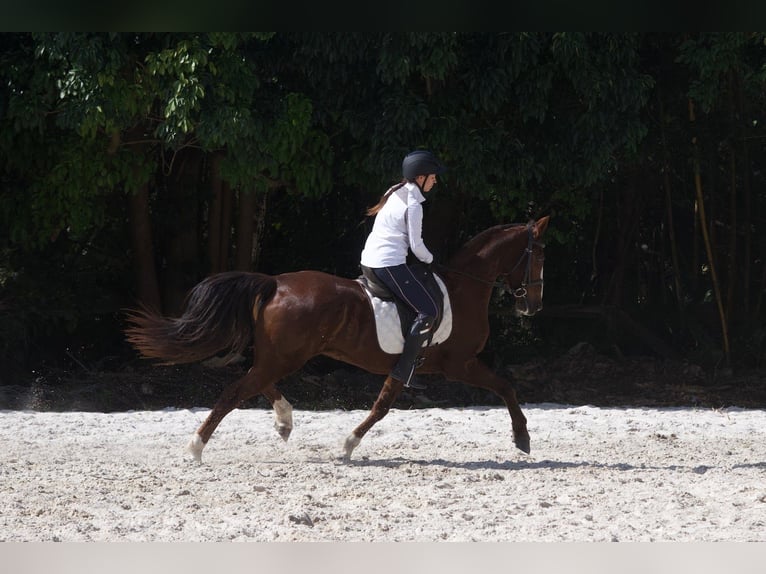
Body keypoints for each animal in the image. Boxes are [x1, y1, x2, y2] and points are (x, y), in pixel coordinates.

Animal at [125, 216, 549, 463]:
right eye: (541, 256)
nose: (533, 306)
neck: (462, 290)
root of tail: (275, 282)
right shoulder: (459, 364)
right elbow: (506, 387)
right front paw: (522, 438)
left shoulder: (414, 366)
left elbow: (382, 404)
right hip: (287, 355)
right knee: (237, 390)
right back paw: (197, 448)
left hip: (280, 355)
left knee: (256, 382)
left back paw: (283, 421)